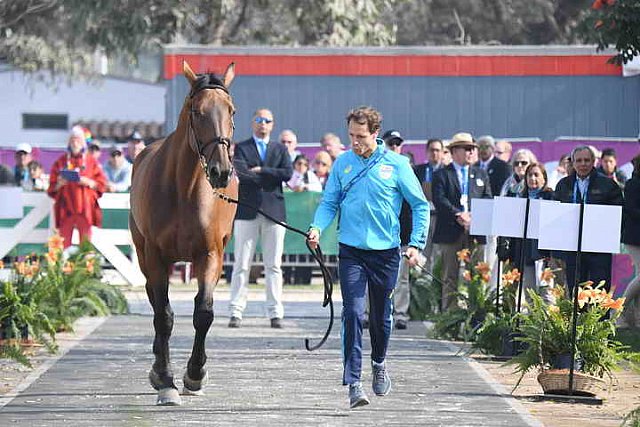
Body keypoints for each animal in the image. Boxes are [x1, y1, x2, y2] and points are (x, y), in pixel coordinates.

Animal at [129, 61, 238, 408]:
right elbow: (163, 316)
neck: (184, 189)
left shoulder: (211, 255)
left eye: (231, 110)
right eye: (197, 111)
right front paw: (166, 379)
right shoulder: (155, 256)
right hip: (143, 255)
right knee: (155, 303)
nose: (220, 171)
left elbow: (203, 313)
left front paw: (194, 374)